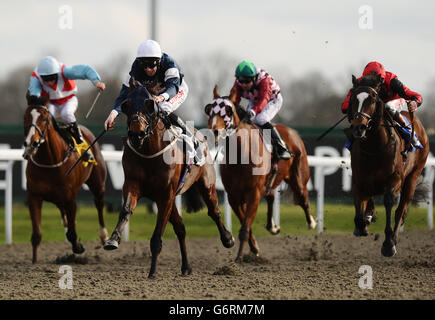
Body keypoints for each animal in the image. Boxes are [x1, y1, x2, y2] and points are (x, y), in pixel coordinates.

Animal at [23, 102, 109, 262]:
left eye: (44, 119)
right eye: (25, 117)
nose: (31, 143)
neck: (50, 162)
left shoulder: (70, 199)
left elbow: (72, 233)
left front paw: (78, 247)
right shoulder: (34, 196)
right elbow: (37, 234)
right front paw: (34, 260)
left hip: (98, 183)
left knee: (99, 204)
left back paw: (104, 236)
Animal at [103, 79, 235, 278]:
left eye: (150, 105)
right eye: (126, 105)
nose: (136, 134)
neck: (149, 152)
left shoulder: (165, 195)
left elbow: (157, 235)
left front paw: (152, 272)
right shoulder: (134, 185)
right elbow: (125, 210)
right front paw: (113, 239)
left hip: (206, 184)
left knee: (214, 212)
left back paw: (227, 239)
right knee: (181, 228)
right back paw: (186, 266)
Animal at [206, 85, 316, 262]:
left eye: (228, 110)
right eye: (209, 110)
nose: (213, 132)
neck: (241, 157)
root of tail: (294, 133)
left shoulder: (254, 194)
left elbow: (245, 228)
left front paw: (238, 258)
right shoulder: (234, 197)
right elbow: (246, 225)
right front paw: (254, 249)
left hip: (299, 177)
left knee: (303, 197)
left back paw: (311, 222)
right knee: (271, 196)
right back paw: (272, 227)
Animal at [348, 74, 430, 256]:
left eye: (372, 99)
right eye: (352, 98)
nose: (359, 127)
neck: (375, 146)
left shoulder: (394, 180)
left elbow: (389, 202)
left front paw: (388, 244)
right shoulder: (359, 180)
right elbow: (359, 212)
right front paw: (364, 222)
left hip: (413, 176)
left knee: (402, 209)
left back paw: (394, 239)